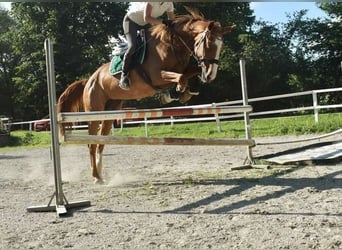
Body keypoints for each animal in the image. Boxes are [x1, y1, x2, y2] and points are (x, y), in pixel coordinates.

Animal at [58, 8, 235, 184]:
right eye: (209, 44)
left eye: (221, 46)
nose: (211, 75)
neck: (173, 44)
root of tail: (89, 79)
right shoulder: (157, 76)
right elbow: (181, 78)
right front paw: (174, 93)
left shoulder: (184, 68)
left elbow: (191, 73)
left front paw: (187, 92)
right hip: (94, 113)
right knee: (92, 144)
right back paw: (95, 177)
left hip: (109, 113)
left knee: (101, 143)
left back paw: (100, 175)